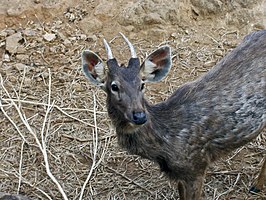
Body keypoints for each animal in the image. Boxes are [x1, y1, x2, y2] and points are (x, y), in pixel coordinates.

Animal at [82, 30, 264, 198]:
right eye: (114, 86)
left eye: (142, 84)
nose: (139, 116)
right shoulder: (180, 175)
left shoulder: (196, 165)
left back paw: (256, 186)